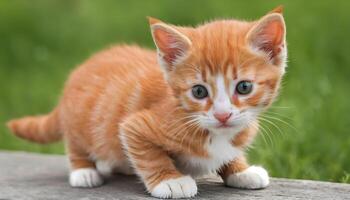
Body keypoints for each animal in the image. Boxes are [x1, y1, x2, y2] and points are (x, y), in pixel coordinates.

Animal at [6, 5, 288, 198]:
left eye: (244, 87)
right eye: (199, 92)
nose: (222, 115)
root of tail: (77, 72)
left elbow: (230, 154)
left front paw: (242, 170)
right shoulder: (135, 126)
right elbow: (148, 153)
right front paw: (170, 181)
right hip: (79, 123)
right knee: (75, 145)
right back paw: (83, 171)